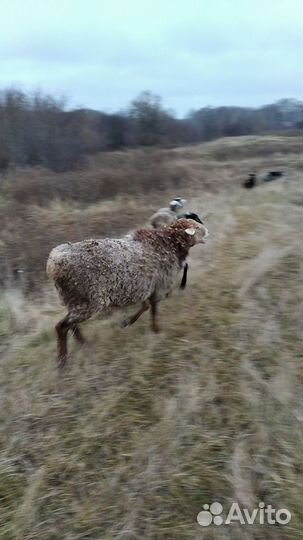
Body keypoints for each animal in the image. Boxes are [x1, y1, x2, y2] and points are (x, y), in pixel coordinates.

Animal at [47, 218, 209, 368]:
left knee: (71, 325)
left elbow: (145, 306)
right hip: (88, 301)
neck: (169, 245)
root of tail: (53, 264)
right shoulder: (158, 288)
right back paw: (62, 361)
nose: (207, 232)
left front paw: (127, 322)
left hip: (74, 300)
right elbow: (153, 311)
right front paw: (156, 331)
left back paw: (85, 345)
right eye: (196, 227)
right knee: (61, 326)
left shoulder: (144, 287)